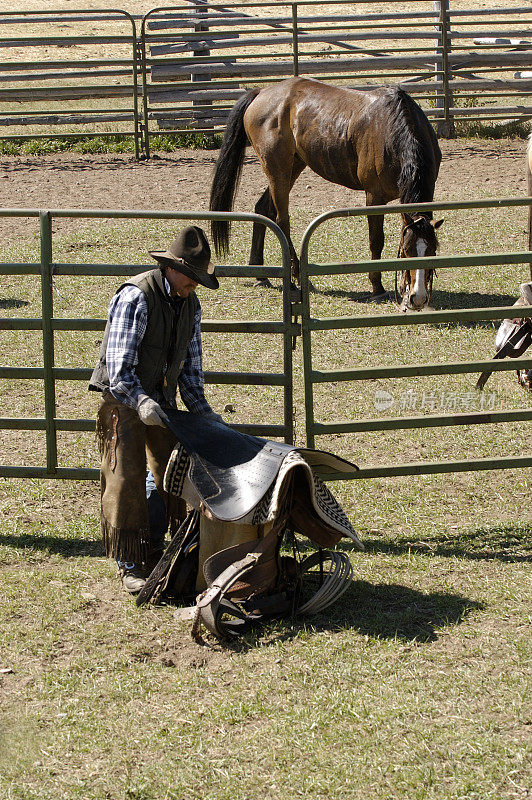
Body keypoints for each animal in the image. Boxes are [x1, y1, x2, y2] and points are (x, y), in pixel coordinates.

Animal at [210, 77, 442, 310]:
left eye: (432, 250)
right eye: (407, 251)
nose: (418, 298)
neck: (392, 129)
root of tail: (260, 92)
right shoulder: (374, 196)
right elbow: (376, 240)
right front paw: (377, 287)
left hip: (293, 166)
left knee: (263, 209)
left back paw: (261, 275)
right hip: (278, 170)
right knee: (281, 220)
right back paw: (294, 278)